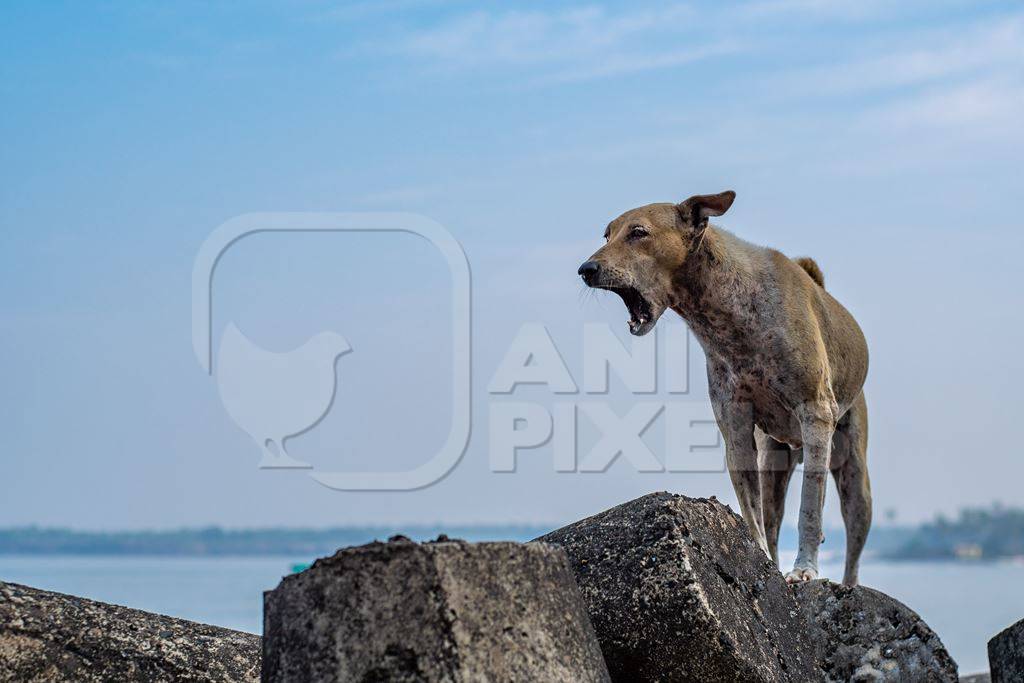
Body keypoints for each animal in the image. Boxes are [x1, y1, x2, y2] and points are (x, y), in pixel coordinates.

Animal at [581, 192, 868, 589]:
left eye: (638, 232)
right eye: (607, 235)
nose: (586, 269)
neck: (728, 315)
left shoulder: (816, 414)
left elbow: (811, 505)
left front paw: (805, 569)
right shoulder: (736, 429)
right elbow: (751, 514)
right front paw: (763, 564)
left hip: (854, 472)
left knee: (853, 539)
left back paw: (848, 584)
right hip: (773, 462)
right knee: (771, 517)